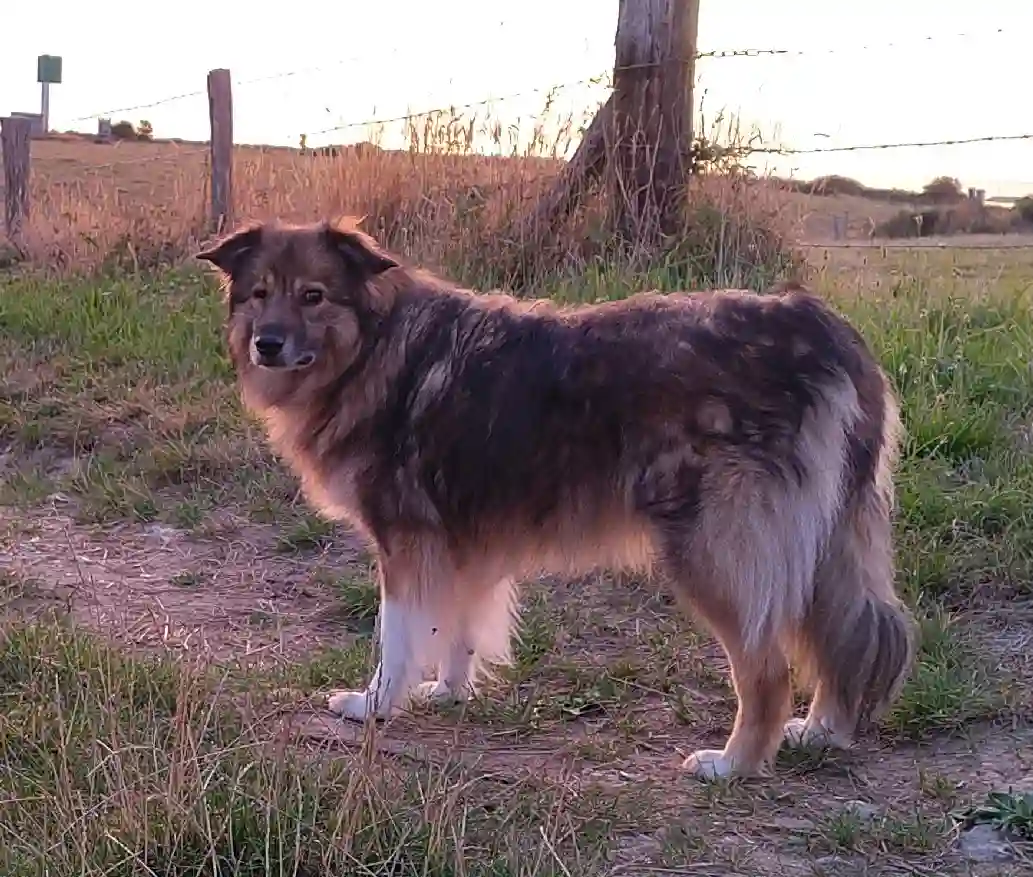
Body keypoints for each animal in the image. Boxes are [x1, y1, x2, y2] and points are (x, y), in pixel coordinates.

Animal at [197, 215, 917, 776]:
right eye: (259, 293)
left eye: (313, 295)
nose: (267, 343)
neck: (374, 349)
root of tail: (818, 325)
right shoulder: (464, 543)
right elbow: (459, 628)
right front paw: (448, 692)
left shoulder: (406, 542)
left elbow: (396, 635)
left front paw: (373, 705)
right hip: (824, 541)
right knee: (847, 633)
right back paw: (820, 730)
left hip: (717, 549)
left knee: (767, 668)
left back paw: (732, 763)